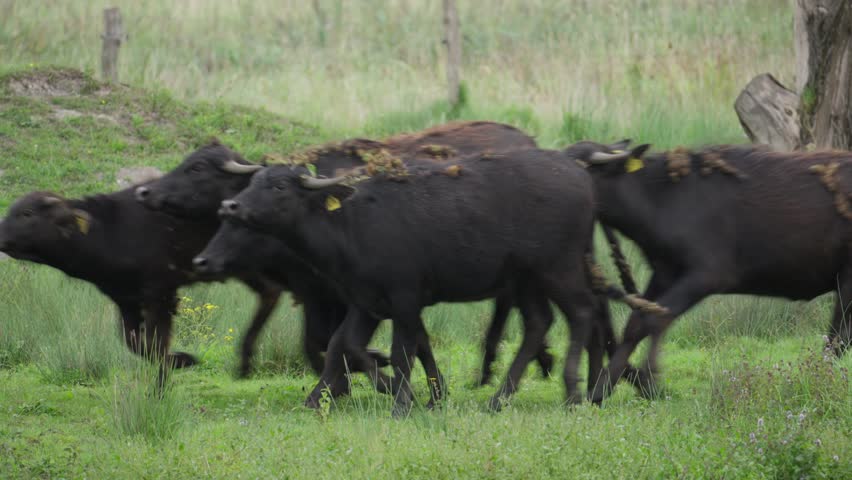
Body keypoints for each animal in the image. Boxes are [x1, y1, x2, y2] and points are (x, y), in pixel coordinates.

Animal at [136, 121, 556, 386]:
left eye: (197, 167)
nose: (145, 191)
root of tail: (530, 142)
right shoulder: (324, 294)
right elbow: (327, 342)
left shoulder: (331, 294)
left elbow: (327, 342)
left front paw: (361, 376)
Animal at [215, 151, 664, 416]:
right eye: (252, 182)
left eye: (278, 185)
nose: (230, 205)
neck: (351, 222)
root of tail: (579, 177)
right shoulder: (367, 302)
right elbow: (347, 345)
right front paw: (392, 390)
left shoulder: (404, 298)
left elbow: (402, 351)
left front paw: (402, 401)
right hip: (525, 280)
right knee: (540, 323)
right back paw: (501, 398)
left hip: (558, 268)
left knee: (583, 314)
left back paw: (575, 393)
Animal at [572, 142, 852, 402]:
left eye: (585, 166)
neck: (661, 197)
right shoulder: (664, 273)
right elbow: (635, 323)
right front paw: (602, 388)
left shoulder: (706, 276)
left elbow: (656, 320)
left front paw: (650, 381)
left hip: (846, 282)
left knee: (837, 337)